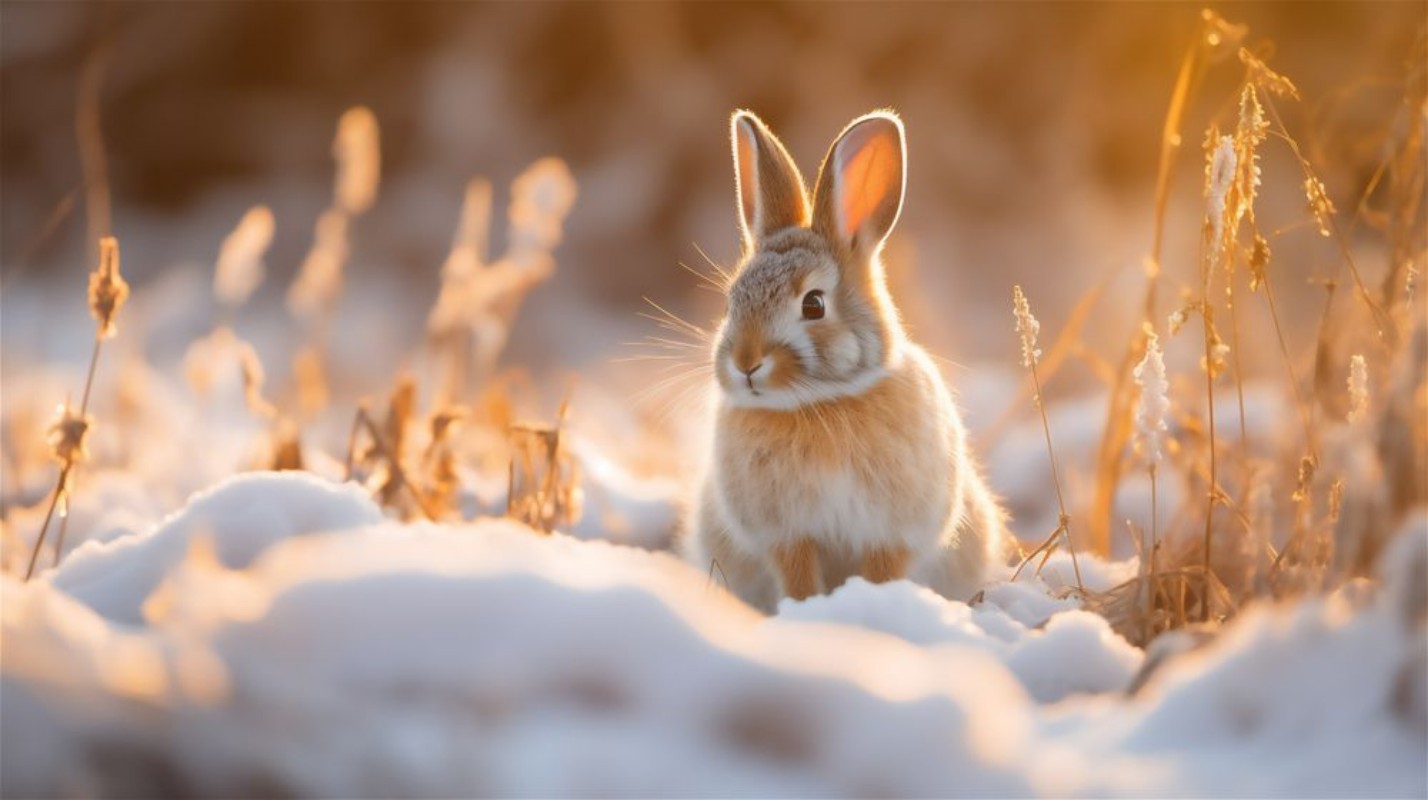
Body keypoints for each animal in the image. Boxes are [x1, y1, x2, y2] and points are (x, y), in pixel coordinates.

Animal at [683, 109, 1010, 612]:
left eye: (814, 304)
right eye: (729, 302)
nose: (745, 363)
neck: (822, 403)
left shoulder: (890, 532)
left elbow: (882, 571)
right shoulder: (789, 534)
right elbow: (797, 574)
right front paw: (807, 614)